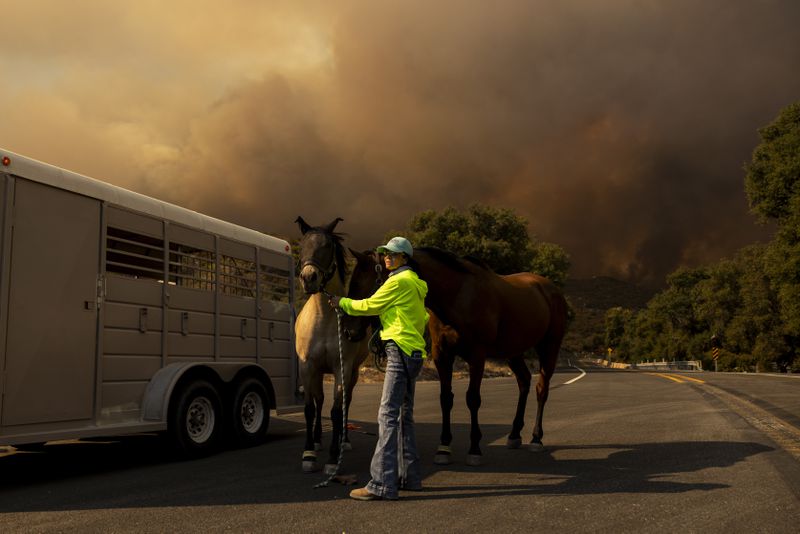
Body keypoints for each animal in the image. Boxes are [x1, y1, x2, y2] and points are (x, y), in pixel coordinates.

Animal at [296, 218, 382, 478]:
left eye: (327, 246)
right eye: (302, 245)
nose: (309, 278)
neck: (325, 318)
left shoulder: (341, 368)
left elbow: (336, 411)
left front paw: (333, 460)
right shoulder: (307, 367)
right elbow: (310, 408)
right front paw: (309, 455)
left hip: (352, 374)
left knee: (346, 403)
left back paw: (344, 440)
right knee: (318, 400)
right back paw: (316, 440)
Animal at [412, 249, 568, 466]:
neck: (457, 295)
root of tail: (552, 290)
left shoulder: (477, 355)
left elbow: (472, 399)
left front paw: (474, 449)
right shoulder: (441, 355)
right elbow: (446, 398)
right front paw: (443, 448)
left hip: (549, 347)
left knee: (541, 389)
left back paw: (536, 438)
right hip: (513, 352)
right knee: (524, 381)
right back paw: (514, 434)